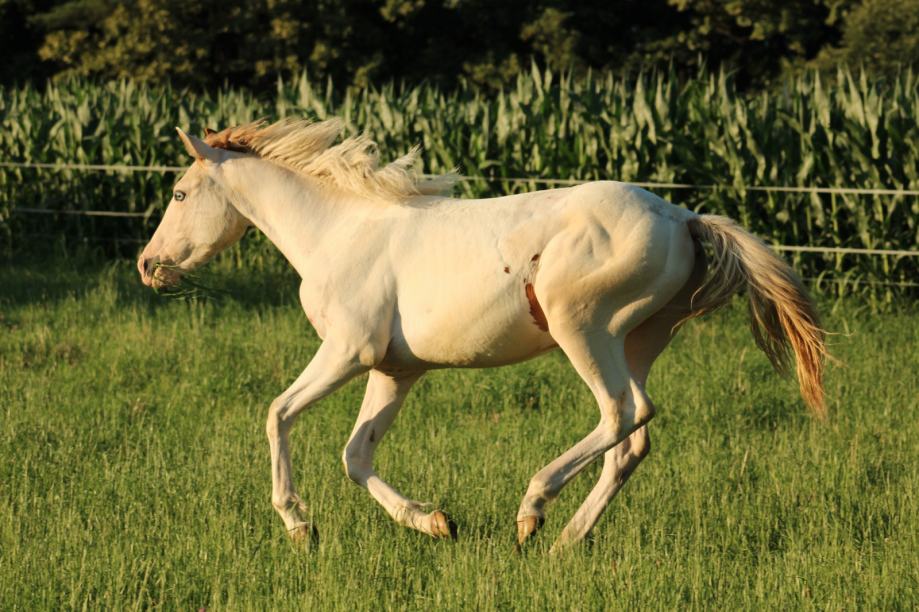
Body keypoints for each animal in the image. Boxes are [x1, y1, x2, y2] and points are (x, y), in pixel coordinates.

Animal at [137, 119, 826, 551]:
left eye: (179, 193)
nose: (148, 266)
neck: (338, 231)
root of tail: (683, 216)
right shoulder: (395, 369)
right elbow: (356, 455)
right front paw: (435, 523)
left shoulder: (348, 353)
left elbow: (277, 414)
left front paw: (299, 528)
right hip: (639, 341)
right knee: (633, 440)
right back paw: (568, 541)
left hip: (584, 328)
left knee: (621, 413)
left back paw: (532, 512)